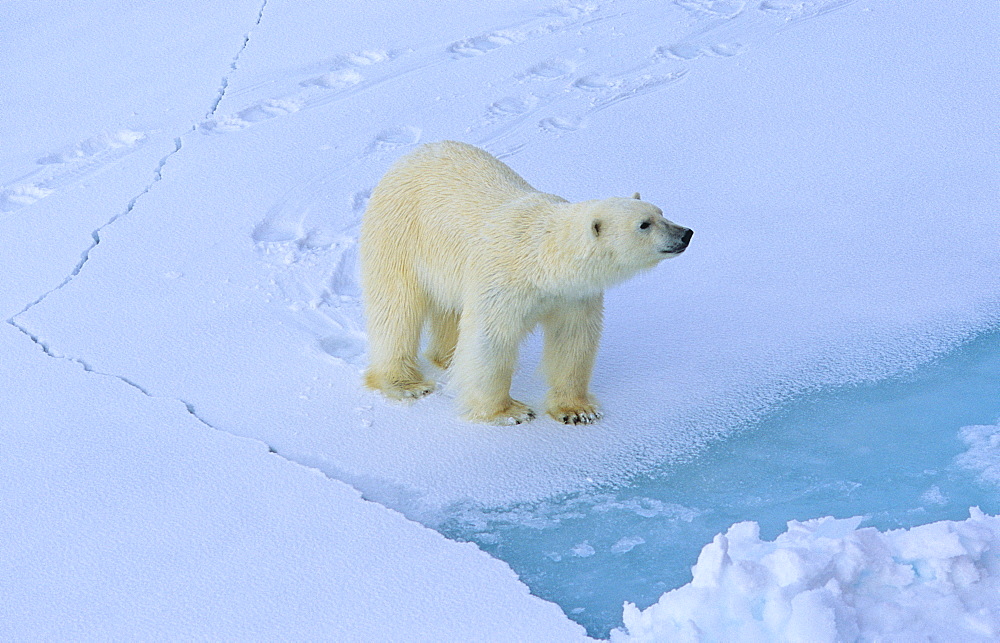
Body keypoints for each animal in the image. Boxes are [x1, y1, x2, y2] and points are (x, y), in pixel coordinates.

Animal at [362, 141, 696, 426]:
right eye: (644, 225)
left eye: (661, 211)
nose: (685, 233)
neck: (543, 258)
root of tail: (408, 157)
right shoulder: (502, 280)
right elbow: (490, 340)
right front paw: (508, 412)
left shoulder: (573, 295)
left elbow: (573, 338)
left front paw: (577, 410)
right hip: (399, 233)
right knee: (397, 307)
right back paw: (406, 383)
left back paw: (447, 358)